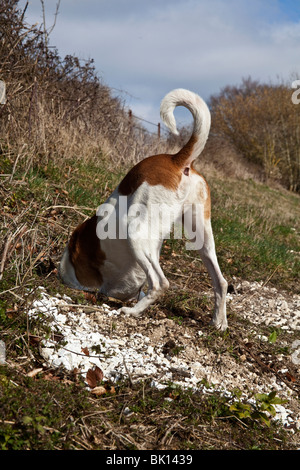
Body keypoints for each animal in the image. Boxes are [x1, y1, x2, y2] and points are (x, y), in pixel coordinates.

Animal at [58, 89, 227, 330]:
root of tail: (175, 160)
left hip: (134, 234)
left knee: (160, 283)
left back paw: (133, 311)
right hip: (201, 237)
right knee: (221, 282)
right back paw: (219, 322)